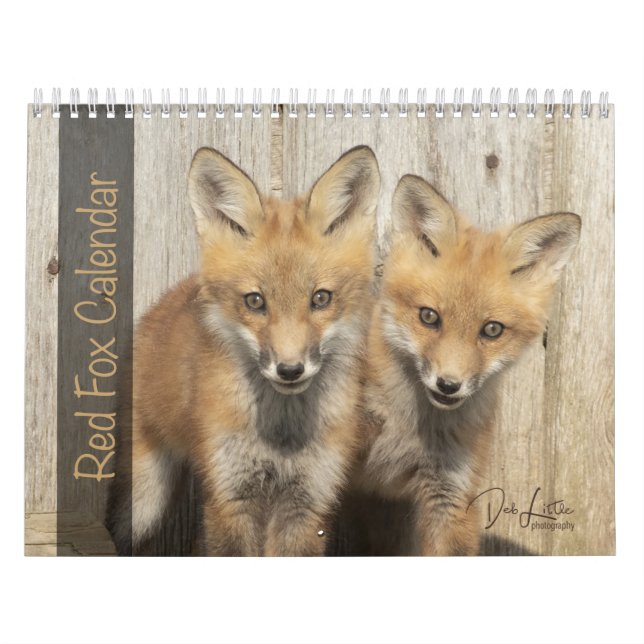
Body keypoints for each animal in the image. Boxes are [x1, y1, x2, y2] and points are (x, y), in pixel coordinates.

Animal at [108, 145, 380, 556]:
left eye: (320, 298)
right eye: (255, 301)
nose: (289, 370)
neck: (281, 436)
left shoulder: (307, 502)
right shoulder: (230, 497)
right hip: (144, 499)